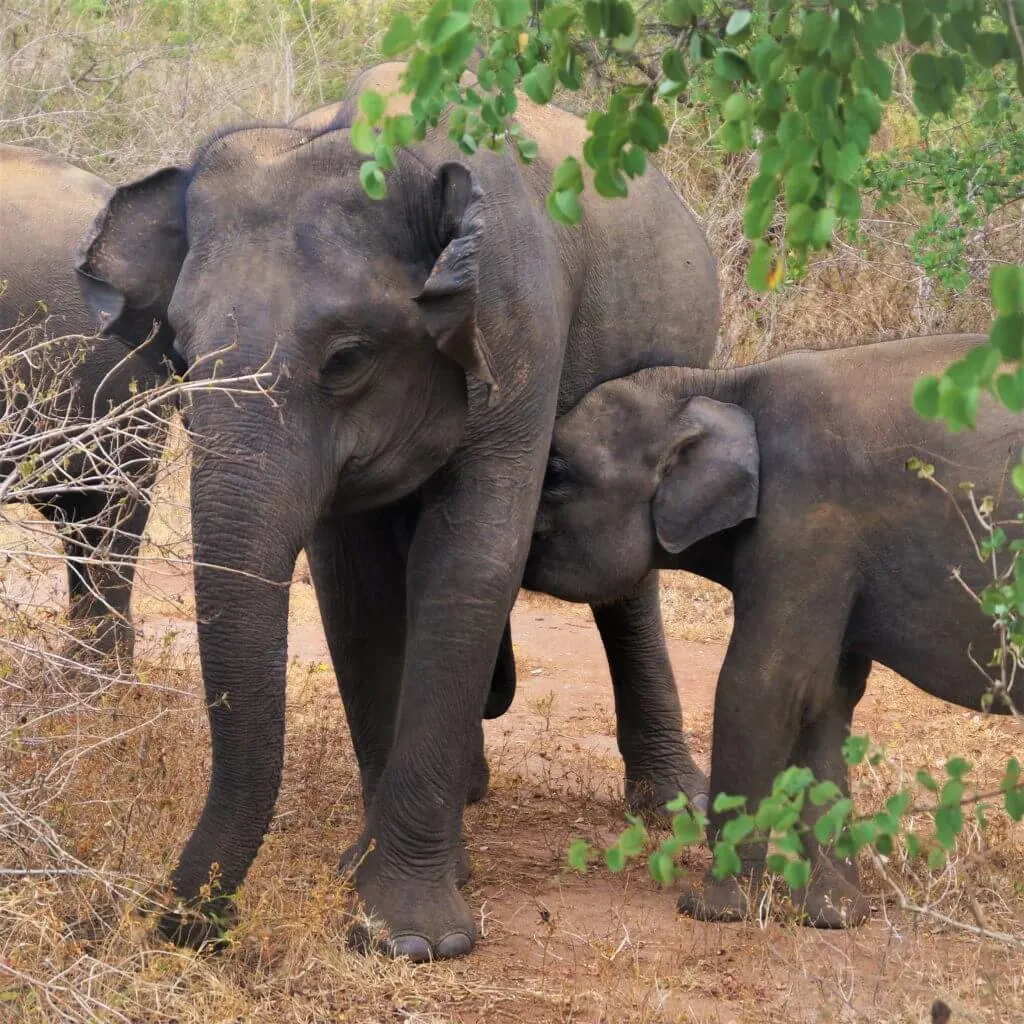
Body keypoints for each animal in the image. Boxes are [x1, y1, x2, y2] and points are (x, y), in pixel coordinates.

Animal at [75, 61, 720, 958]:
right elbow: (356, 594)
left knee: (626, 585)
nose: (179, 924)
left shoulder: (517, 324)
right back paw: (472, 788)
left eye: (347, 359)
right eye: (177, 352)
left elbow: (469, 562)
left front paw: (408, 938)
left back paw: (672, 806)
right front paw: (370, 877)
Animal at [524, 333, 1019, 929]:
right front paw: (834, 914)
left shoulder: (807, 517)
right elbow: (826, 700)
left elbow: (764, 687)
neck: (719, 386)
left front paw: (711, 909)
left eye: (555, 472)